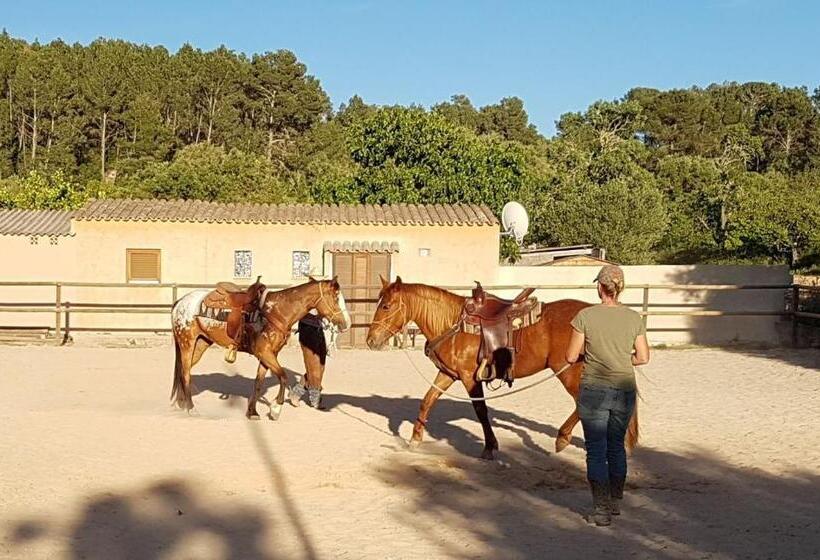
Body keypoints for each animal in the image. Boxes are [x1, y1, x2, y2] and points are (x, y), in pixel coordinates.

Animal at [171, 277, 350, 420]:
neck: (275, 311)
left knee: (184, 371)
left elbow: (259, 382)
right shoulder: (264, 352)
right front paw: (276, 409)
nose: (347, 323)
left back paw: (181, 403)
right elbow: (283, 376)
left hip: (201, 343)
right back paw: (191, 408)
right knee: (185, 373)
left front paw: (252, 412)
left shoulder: (268, 355)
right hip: (187, 343)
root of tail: (180, 302)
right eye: (335, 298)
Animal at [365, 277, 638, 460]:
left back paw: (563, 438)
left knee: (585, 404)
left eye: (386, 306)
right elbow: (427, 401)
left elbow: (480, 411)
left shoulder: (469, 378)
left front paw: (489, 447)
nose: (370, 340)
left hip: (570, 371)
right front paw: (414, 439)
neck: (453, 324)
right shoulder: (448, 374)